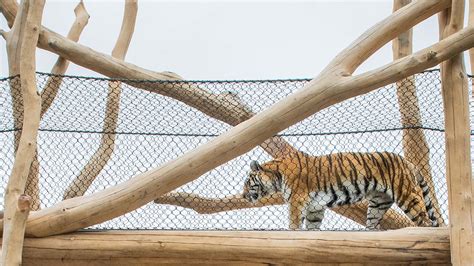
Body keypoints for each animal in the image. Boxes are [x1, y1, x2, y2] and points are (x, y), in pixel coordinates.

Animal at [243, 151, 438, 230]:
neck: (276, 176)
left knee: (425, 220)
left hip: (407, 195)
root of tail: (407, 162)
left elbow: (294, 222)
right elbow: (312, 226)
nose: (244, 195)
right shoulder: (315, 207)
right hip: (378, 203)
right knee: (373, 224)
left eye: (247, 182)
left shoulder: (297, 200)